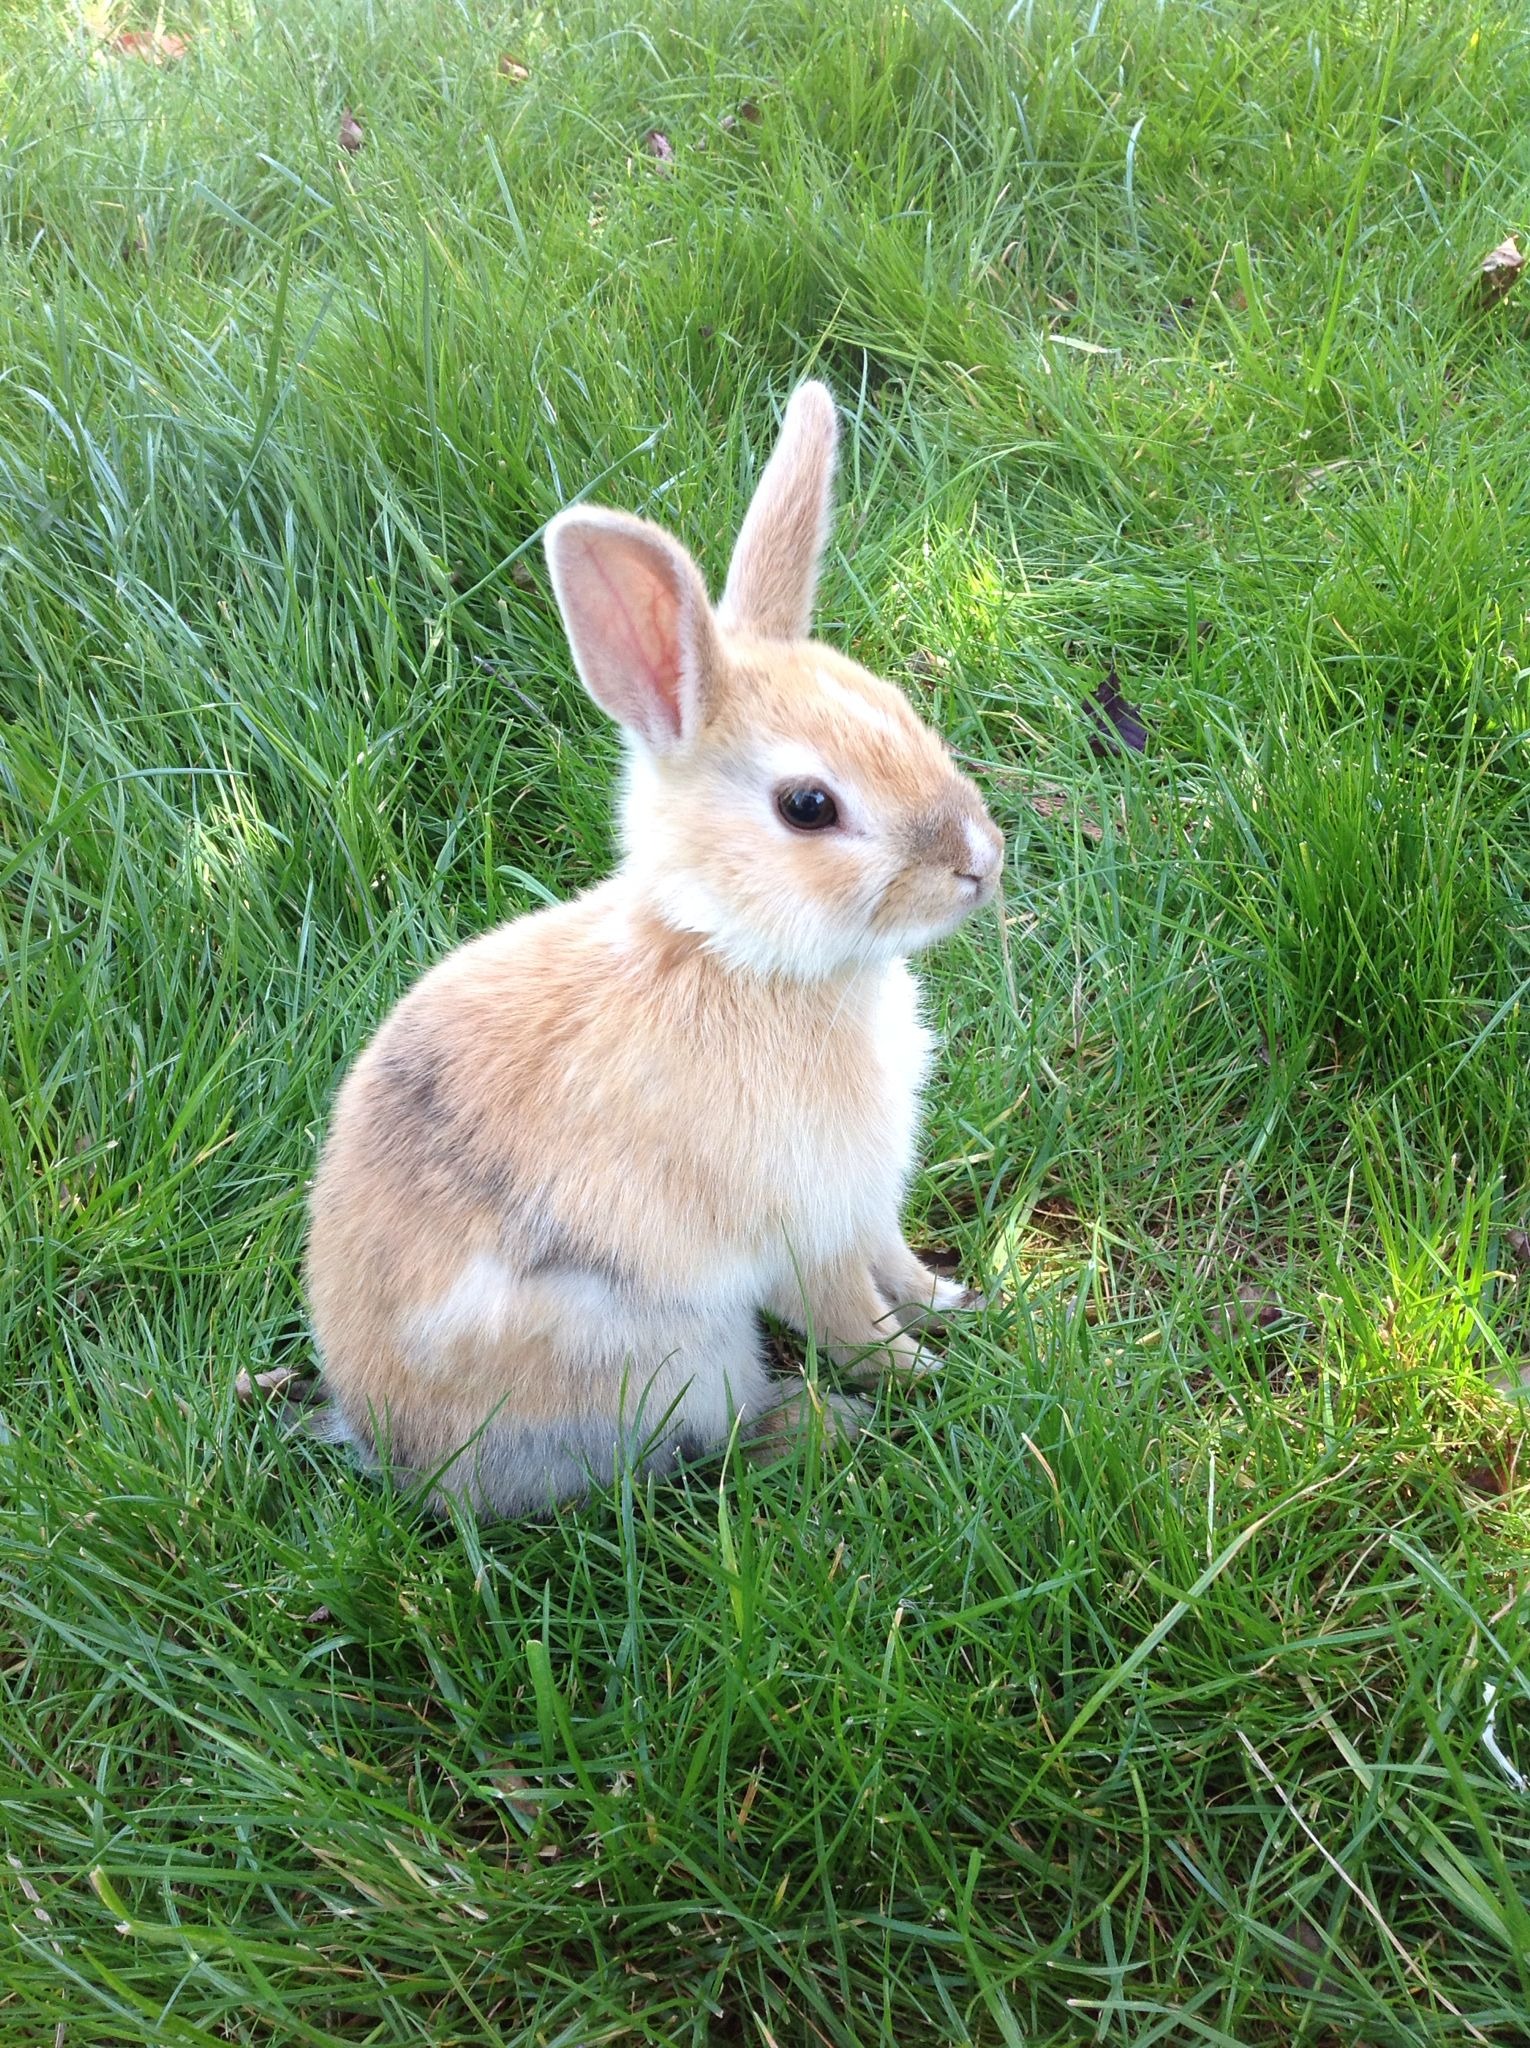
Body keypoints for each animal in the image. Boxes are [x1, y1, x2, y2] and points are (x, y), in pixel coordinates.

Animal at [306, 380, 1003, 1515]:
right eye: (808, 806)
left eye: (900, 708)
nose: (980, 861)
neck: (734, 954)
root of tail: (400, 1453)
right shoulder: (805, 1229)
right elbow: (854, 1318)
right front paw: (925, 1373)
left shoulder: (864, 1205)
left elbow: (897, 1264)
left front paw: (958, 1297)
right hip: (667, 1351)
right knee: (705, 1443)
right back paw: (823, 1426)